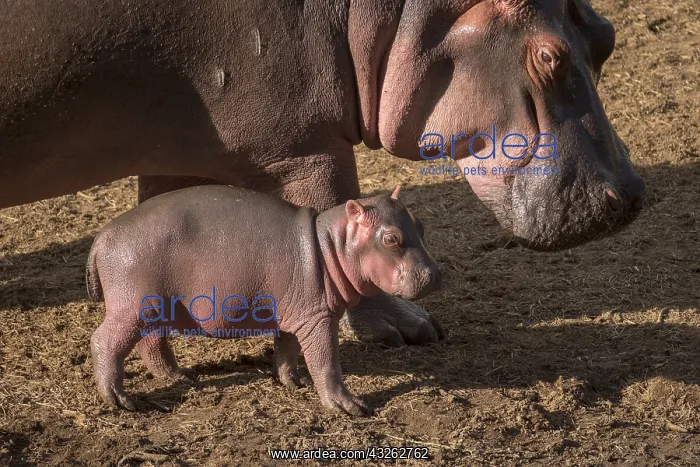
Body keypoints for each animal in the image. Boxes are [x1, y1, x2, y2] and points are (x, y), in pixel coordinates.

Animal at [0, 0, 645, 346]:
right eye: (549, 57)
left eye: (608, 36)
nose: (634, 195)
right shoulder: (303, 147)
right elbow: (337, 212)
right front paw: (407, 329)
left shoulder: (176, 153)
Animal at [86, 184, 442, 415]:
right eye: (391, 239)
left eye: (421, 225)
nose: (436, 273)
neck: (333, 244)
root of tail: (101, 238)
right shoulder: (318, 317)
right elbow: (326, 362)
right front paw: (350, 408)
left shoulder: (298, 312)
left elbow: (288, 350)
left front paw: (293, 383)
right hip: (133, 305)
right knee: (105, 341)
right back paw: (121, 401)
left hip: (153, 307)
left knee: (150, 341)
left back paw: (180, 376)